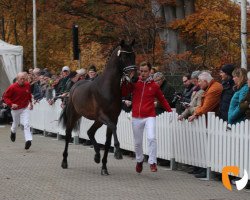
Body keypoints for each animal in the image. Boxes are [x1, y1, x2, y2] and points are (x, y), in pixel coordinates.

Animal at [58, 40, 137, 175]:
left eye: (134, 56)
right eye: (124, 56)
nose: (134, 77)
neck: (108, 88)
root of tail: (73, 87)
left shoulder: (112, 117)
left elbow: (107, 142)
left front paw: (104, 167)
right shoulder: (104, 117)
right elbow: (113, 128)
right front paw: (118, 152)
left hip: (97, 121)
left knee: (90, 132)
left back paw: (97, 156)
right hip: (74, 115)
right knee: (68, 135)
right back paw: (64, 162)